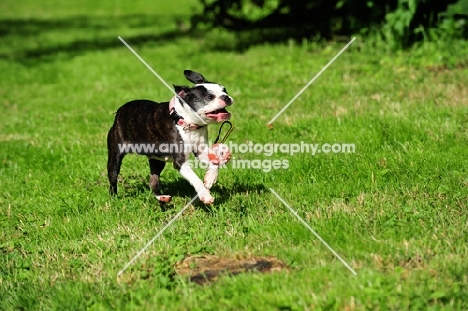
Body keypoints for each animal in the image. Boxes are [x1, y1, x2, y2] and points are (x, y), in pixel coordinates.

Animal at [107, 72, 233, 206]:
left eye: (225, 90)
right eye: (209, 97)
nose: (226, 97)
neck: (187, 122)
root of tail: (119, 111)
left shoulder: (201, 151)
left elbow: (215, 162)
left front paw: (210, 178)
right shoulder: (180, 162)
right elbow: (195, 179)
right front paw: (205, 195)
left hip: (157, 160)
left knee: (153, 180)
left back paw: (162, 197)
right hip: (115, 155)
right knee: (113, 179)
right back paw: (114, 199)